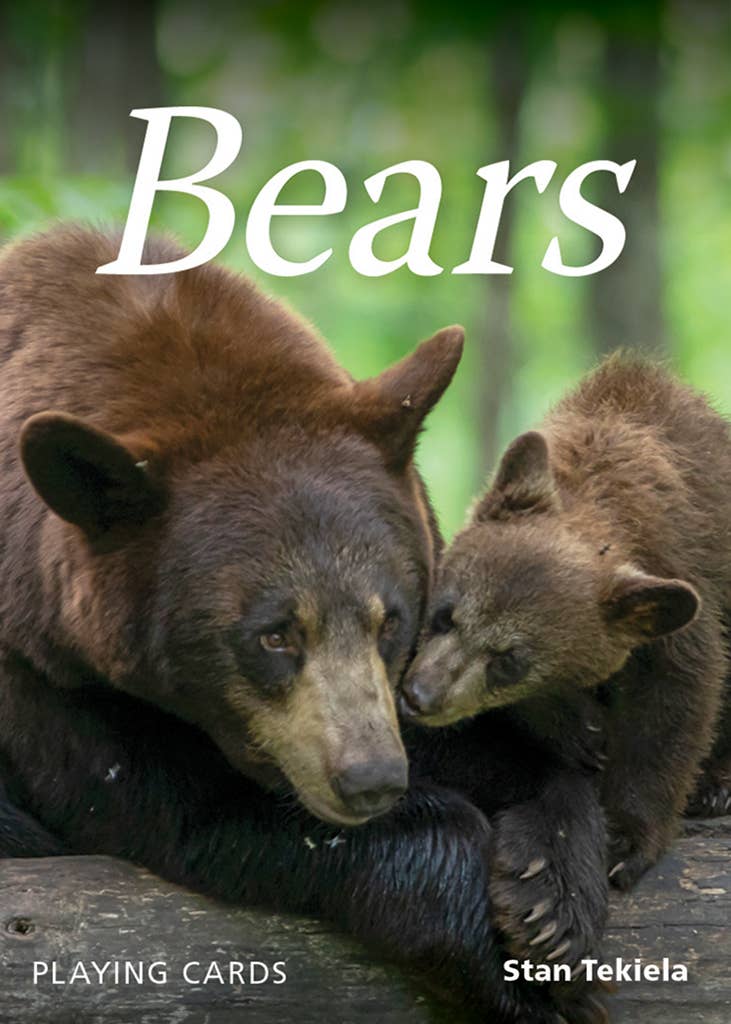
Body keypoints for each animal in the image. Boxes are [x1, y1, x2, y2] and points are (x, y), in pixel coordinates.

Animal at [0, 225, 605, 1023]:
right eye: (273, 633)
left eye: (390, 620)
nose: (372, 779)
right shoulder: (44, 675)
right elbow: (187, 807)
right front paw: (512, 969)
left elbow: (489, 737)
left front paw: (552, 895)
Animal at [401, 353, 731, 965]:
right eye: (445, 613)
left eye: (509, 658)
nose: (420, 695)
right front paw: (581, 733)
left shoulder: (686, 594)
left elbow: (676, 705)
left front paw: (623, 839)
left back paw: (717, 783)